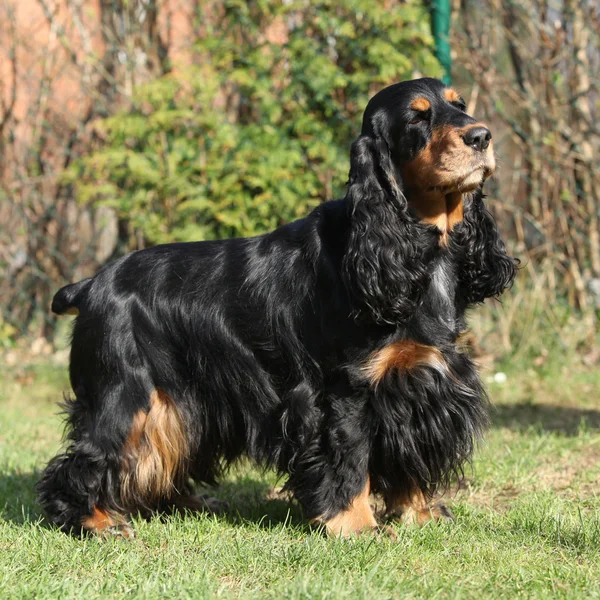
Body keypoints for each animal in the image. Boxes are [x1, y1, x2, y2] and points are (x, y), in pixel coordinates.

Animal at [37, 77, 516, 536]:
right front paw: (356, 526)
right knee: (83, 460)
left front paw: (419, 512)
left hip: (176, 401)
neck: (414, 245)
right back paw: (96, 522)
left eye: (459, 103)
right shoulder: (344, 390)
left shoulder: (418, 379)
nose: (481, 136)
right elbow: (349, 456)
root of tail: (91, 285)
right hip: (126, 394)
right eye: (417, 118)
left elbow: (407, 455)